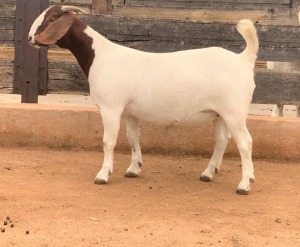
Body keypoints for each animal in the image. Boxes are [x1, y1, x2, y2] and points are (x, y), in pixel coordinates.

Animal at [28, 4, 258, 195]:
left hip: (234, 111)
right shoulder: (130, 112)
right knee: (222, 140)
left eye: (52, 18)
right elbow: (133, 138)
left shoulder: (111, 107)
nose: (30, 38)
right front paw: (133, 168)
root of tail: (243, 60)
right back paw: (208, 173)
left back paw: (244, 184)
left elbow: (108, 141)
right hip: (220, 113)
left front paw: (103, 174)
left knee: (245, 142)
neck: (99, 55)